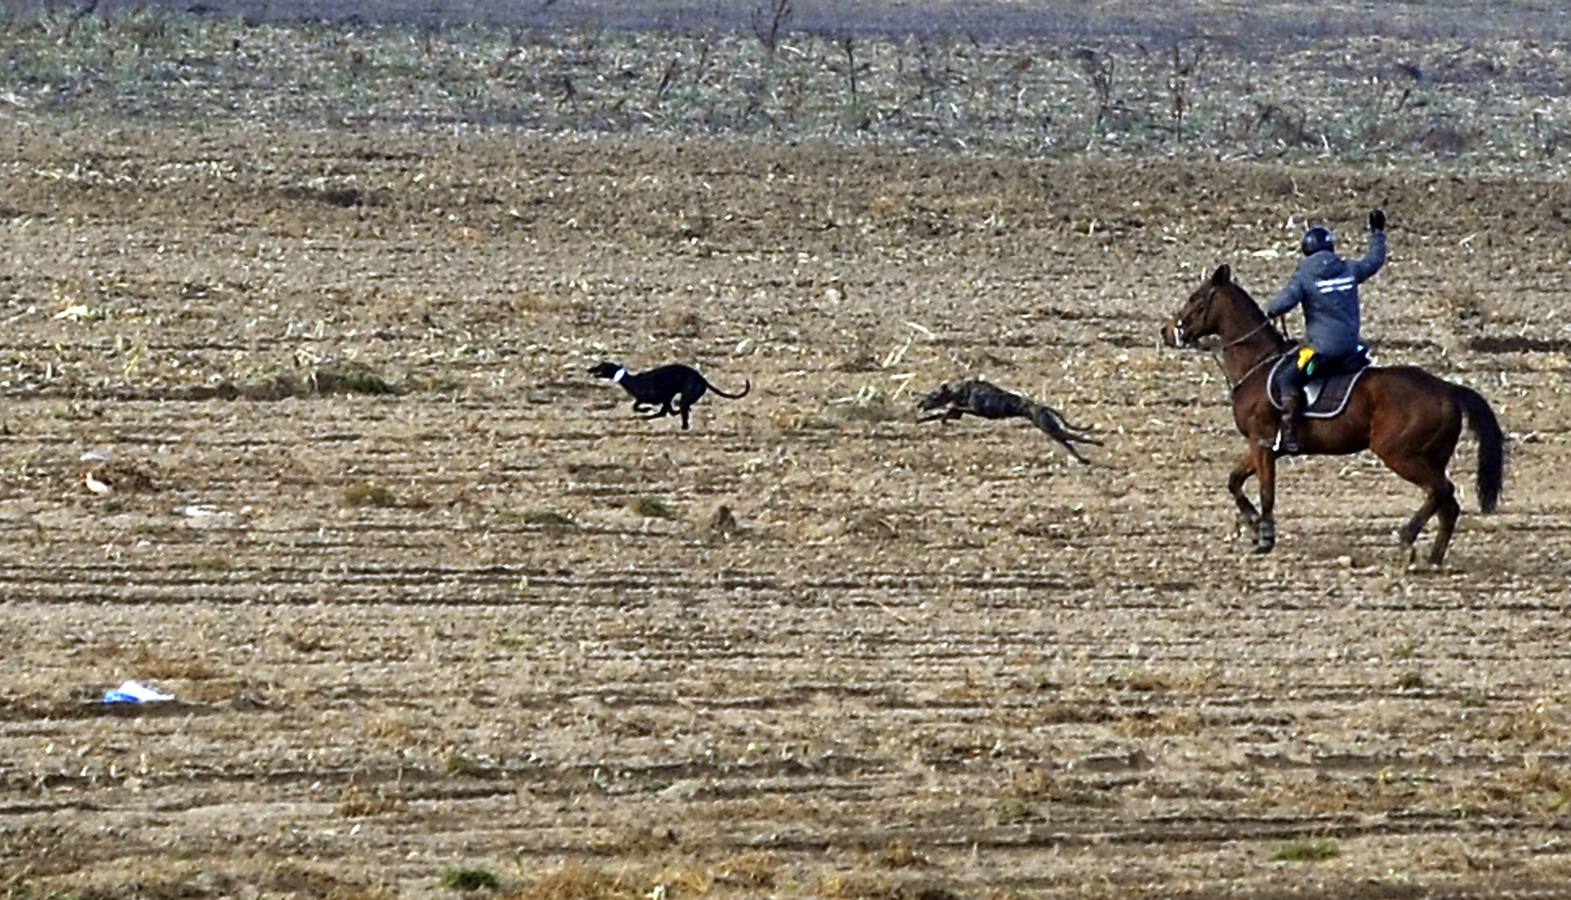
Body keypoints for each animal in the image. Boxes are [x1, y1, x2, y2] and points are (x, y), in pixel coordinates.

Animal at [1162, 263, 1501, 565]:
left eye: (1195, 298)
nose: (1167, 331)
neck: (1258, 365)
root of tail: (1447, 388)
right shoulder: (1262, 446)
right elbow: (1234, 481)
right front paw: (1253, 523)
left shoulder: (1263, 443)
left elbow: (1266, 491)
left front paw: (1265, 536)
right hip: (1431, 457)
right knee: (1448, 504)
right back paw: (1433, 557)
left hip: (1401, 455)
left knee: (1441, 490)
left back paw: (1406, 541)